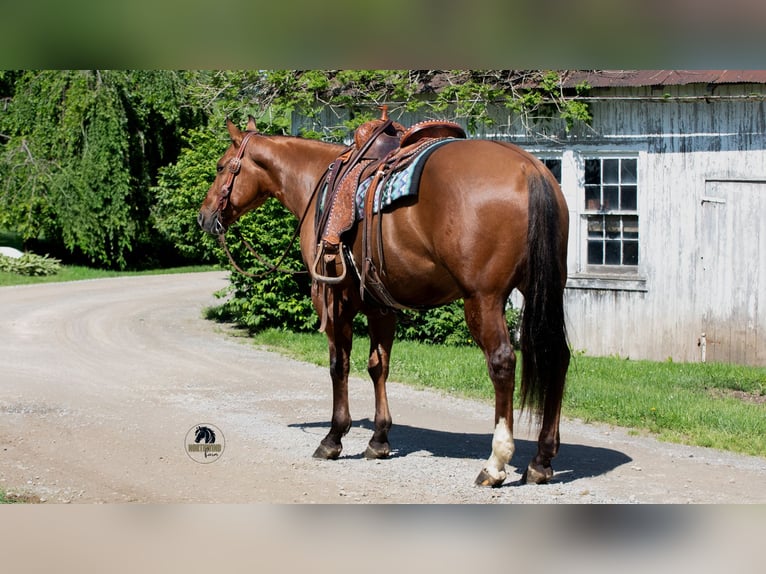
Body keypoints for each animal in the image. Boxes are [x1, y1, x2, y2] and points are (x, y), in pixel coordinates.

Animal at [197, 117, 570, 487]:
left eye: (220, 167)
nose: (203, 216)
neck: (315, 183)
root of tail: (529, 169)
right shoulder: (380, 305)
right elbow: (379, 366)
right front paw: (378, 440)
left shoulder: (334, 300)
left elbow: (339, 365)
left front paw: (333, 438)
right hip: (546, 292)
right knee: (558, 357)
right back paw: (541, 460)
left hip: (483, 299)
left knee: (503, 362)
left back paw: (495, 463)